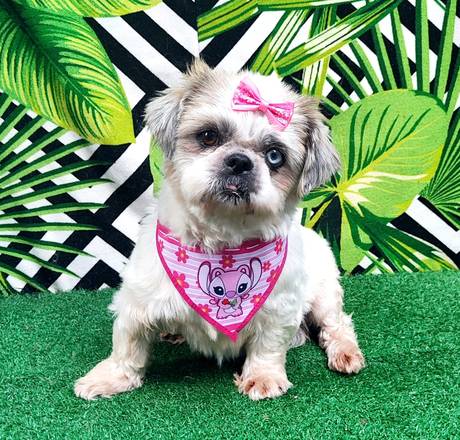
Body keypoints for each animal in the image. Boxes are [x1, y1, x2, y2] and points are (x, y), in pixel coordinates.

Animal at [75, 60, 364, 401]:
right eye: (209, 136)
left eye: (274, 156)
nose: (239, 161)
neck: (223, 245)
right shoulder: (138, 302)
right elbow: (127, 347)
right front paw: (111, 378)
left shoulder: (279, 309)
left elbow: (268, 346)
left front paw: (263, 377)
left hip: (324, 295)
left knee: (337, 324)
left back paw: (344, 351)